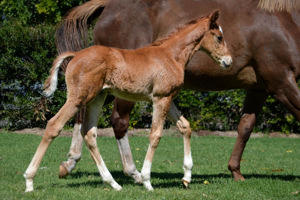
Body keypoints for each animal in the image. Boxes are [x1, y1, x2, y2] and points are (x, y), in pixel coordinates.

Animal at [24, 10, 231, 191]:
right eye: (219, 37)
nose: (228, 61)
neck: (171, 56)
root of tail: (75, 55)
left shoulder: (167, 98)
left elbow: (185, 126)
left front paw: (186, 177)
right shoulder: (160, 98)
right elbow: (155, 135)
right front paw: (147, 181)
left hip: (97, 98)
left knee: (89, 133)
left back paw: (113, 183)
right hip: (78, 98)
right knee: (54, 125)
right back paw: (29, 181)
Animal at [56, 0, 300, 184]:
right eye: (219, 37)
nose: (228, 61)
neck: (285, 19)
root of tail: (108, 5)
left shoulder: (259, 88)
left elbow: (245, 127)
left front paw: (235, 171)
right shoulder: (281, 82)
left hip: (101, 89)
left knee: (82, 116)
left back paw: (70, 163)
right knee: (117, 121)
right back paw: (133, 173)